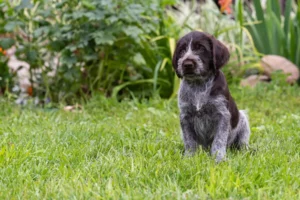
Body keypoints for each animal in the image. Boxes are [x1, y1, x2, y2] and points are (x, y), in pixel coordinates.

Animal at [172, 31, 250, 162]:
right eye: (182, 50)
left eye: (201, 48)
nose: (187, 64)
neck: (198, 85)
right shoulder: (185, 116)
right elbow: (189, 141)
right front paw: (189, 157)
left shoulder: (222, 114)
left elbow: (219, 140)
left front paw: (219, 158)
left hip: (243, 119)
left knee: (242, 143)